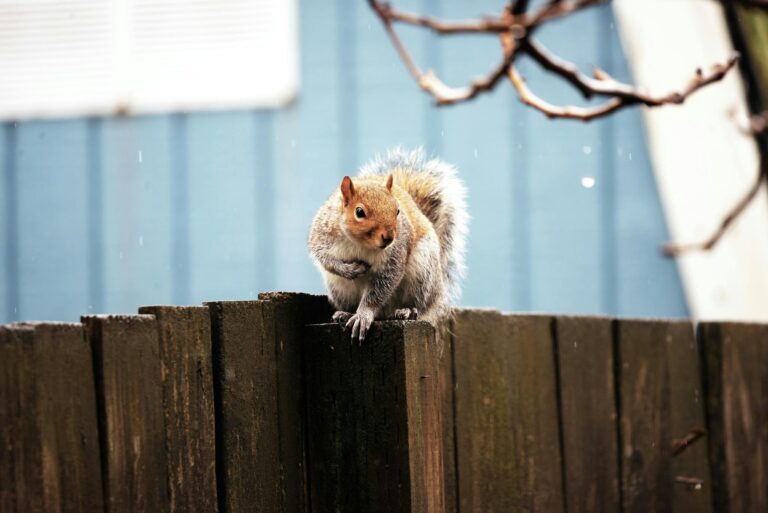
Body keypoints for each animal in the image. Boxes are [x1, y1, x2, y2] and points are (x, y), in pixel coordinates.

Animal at [308, 148, 468, 341]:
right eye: (359, 212)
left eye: (397, 211)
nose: (389, 237)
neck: (360, 243)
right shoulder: (321, 236)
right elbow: (325, 260)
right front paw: (349, 269)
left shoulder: (395, 256)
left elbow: (381, 287)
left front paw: (363, 315)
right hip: (339, 288)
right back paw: (344, 314)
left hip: (422, 273)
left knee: (420, 305)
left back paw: (407, 311)